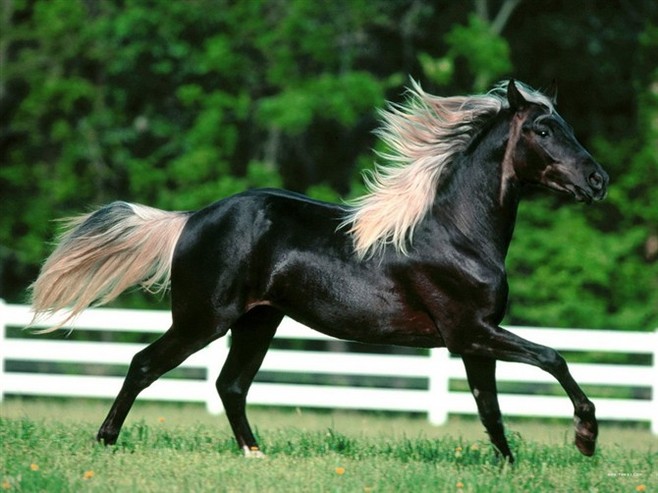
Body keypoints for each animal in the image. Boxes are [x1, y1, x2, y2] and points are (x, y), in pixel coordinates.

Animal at [30, 80, 608, 463]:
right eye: (543, 129)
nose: (598, 181)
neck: (457, 232)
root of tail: (191, 219)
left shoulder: (474, 338)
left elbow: (490, 408)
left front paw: (508, 466)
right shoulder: (470, 331)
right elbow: (552, 358)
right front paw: (585, 439)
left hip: (258, 321)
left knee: (230, 385)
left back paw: (255, 454)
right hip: (203, 320)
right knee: (145, 364)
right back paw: (106, 442)